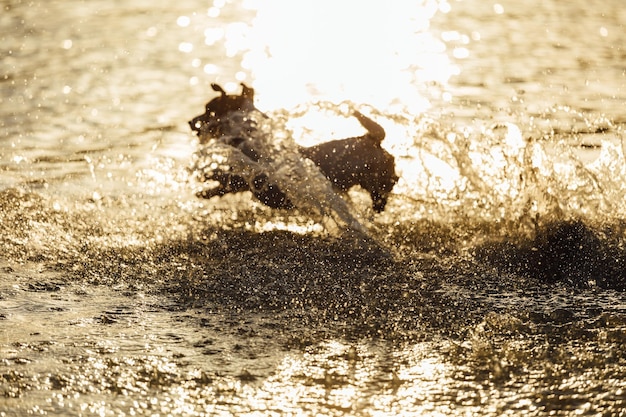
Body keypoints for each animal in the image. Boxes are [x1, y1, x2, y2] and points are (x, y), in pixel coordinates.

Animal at [188, 82, 398, 211]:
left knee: (386, 184)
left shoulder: (254, 178)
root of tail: (371, 138)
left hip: (374, 177)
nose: (190, 122)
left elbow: (227, 178)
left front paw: (206, 178)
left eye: (208, 110)